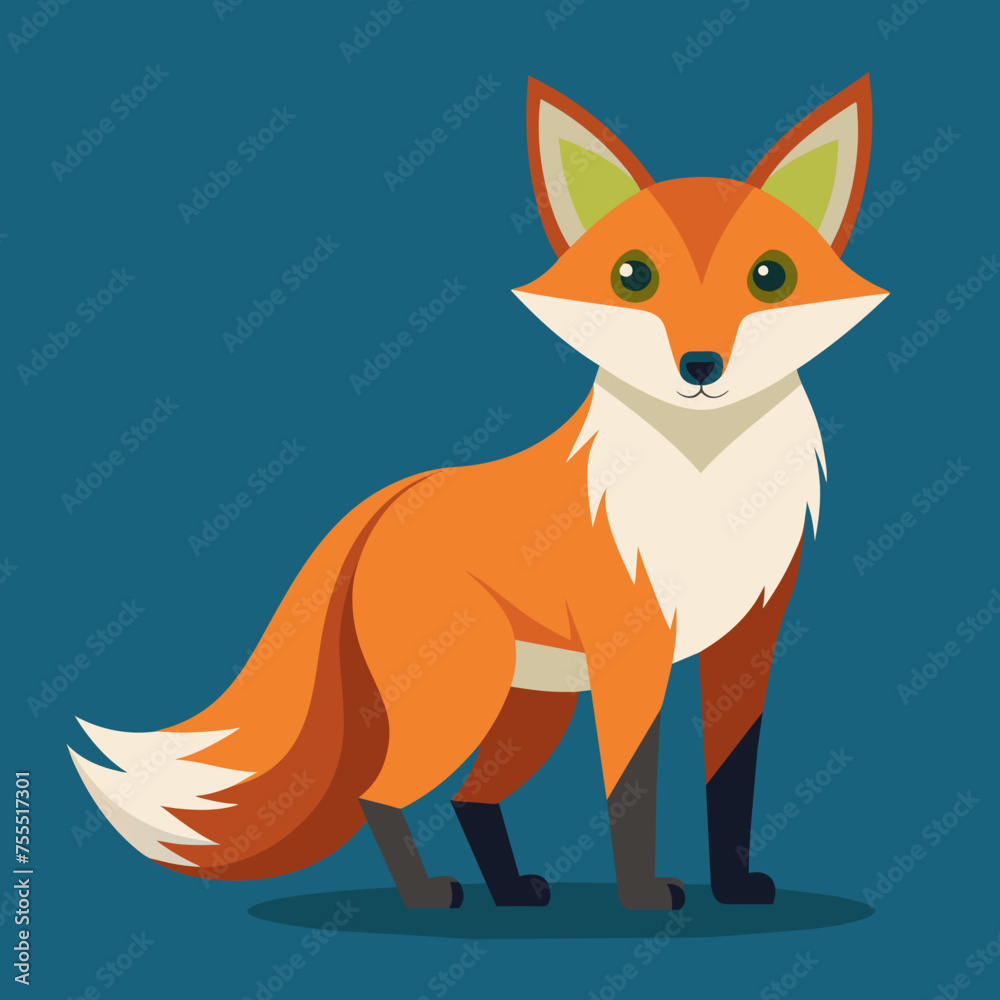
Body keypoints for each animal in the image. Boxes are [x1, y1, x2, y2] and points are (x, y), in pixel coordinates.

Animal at [70, 76, 887, 911]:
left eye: (770, 277)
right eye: (633, 277)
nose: (700, 366)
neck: (707, 483)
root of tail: (386, 504)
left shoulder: (746, 641)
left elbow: (732, 780)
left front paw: (733, 887)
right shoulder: (631, 649)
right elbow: (632, 786)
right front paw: (641, 897)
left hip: (531, 703)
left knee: (470, 796)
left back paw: (512, 891)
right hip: (466, 690)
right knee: (381, 792)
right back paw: (429, 895)